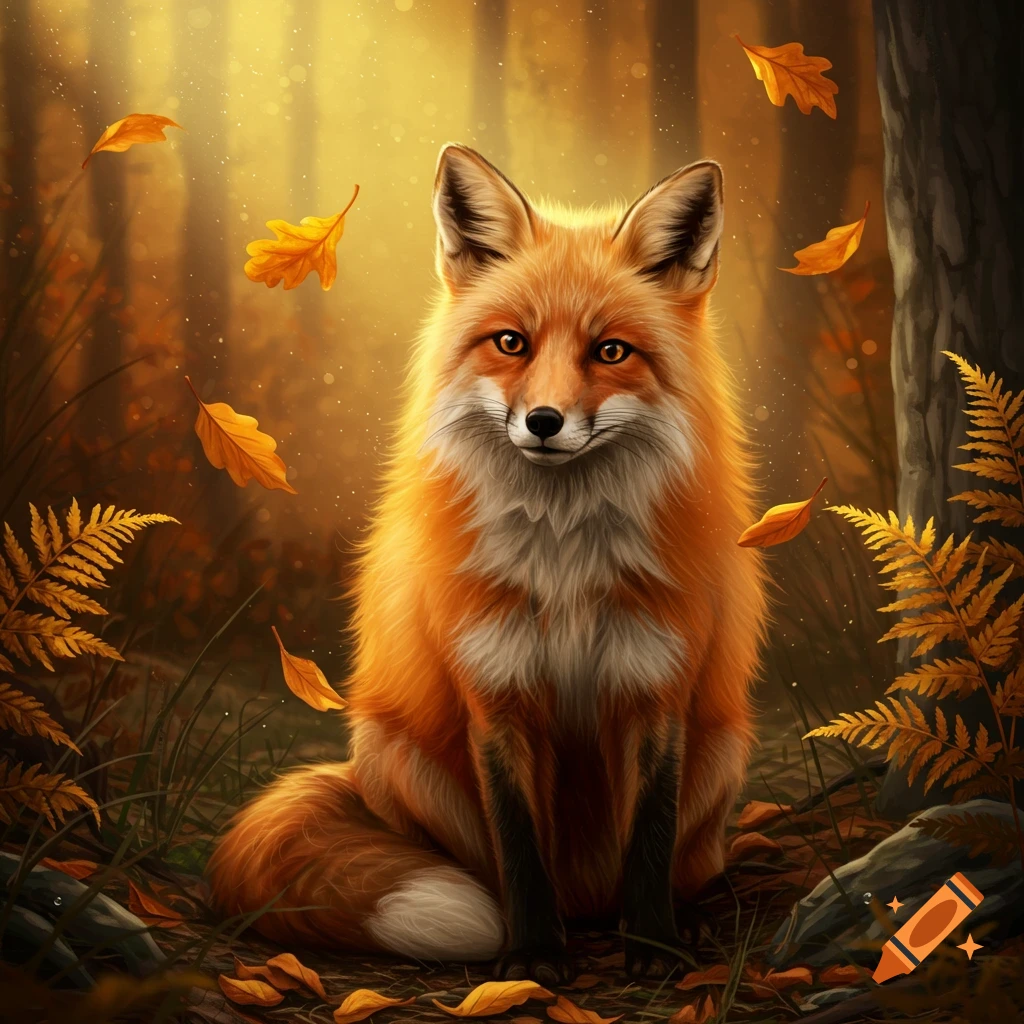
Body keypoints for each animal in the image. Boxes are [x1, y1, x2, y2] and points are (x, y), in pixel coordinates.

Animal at [208, 143, 768, 983]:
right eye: (512, 343)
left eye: (610, 351)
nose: (544, 421)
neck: (565, 566)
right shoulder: (495, 694)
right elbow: (519, 846)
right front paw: (531, 954)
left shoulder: (655, 689)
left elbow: (650, 836)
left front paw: (652, 946)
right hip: (395, 751)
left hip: (723, 748)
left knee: (685, 860)